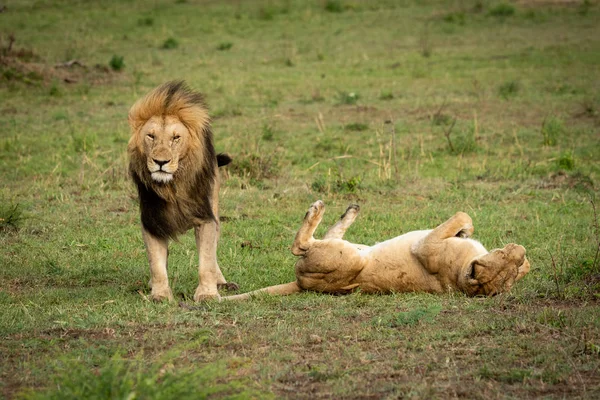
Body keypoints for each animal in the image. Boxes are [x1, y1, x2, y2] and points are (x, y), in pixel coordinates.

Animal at [127, 80, 234, 300]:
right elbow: (157, 263)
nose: (160, 162)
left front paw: (207, 294)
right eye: (151, 136)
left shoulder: (205, 217)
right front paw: (160, 294)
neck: (172, 187)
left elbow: (206, 260)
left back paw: (220, 281)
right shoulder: (152, 220)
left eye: (176, 138)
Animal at [221, 200, 528, 300]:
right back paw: (350, 210)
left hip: (350, 258)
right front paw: (465, 232)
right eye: (505, 257)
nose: (521, 250)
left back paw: (319, 209)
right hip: (355, 248)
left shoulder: (426, 245)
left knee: (300, 246)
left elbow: (462, 214)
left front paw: (463, 229)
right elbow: (466, 218)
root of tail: (301, 285)